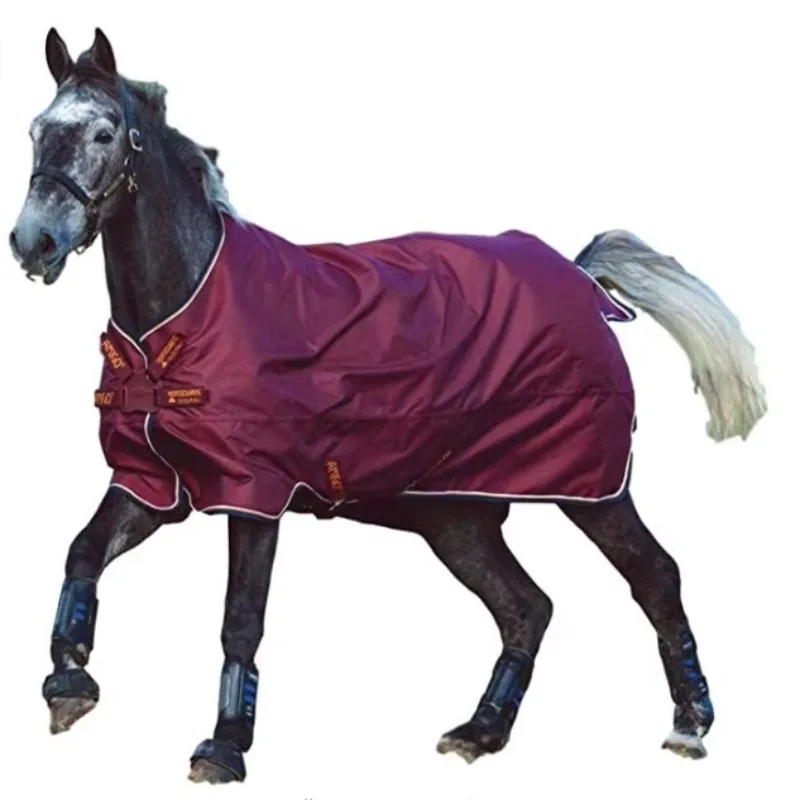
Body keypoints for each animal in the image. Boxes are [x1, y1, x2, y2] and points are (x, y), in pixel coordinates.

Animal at [9, 28, 766, 785]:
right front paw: (68, 683)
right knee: (527, 607)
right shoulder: (152, 482)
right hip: (457, 518)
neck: (187, 314)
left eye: (105, 132)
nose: (33, 241)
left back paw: (689, 724)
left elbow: (241, 618)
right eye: (37, 131)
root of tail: (580, 276)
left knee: (655, 577)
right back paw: (481, 730)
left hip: (589, 488)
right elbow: (82, 551)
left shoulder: (254, 494)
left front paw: (224, 745)